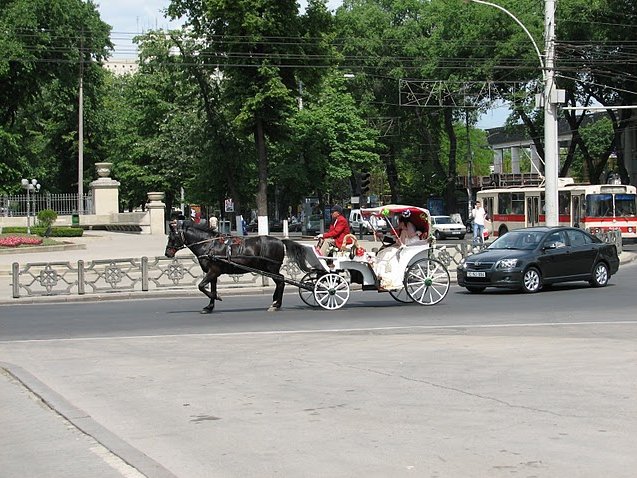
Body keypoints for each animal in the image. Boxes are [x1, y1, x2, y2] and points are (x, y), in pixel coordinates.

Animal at [164, 220, 318, 314]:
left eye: (172, 237)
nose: (167, 253)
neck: (209, 245)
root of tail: (281, 241)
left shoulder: (213, 271)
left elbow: (201, 286)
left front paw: (217, 298)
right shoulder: (213, 273)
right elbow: (211, 289)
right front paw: (209, 307)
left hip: (272, 268)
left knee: (281, 281)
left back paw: (276, 304)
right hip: (269, 269)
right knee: (280, 282)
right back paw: (275, 302)